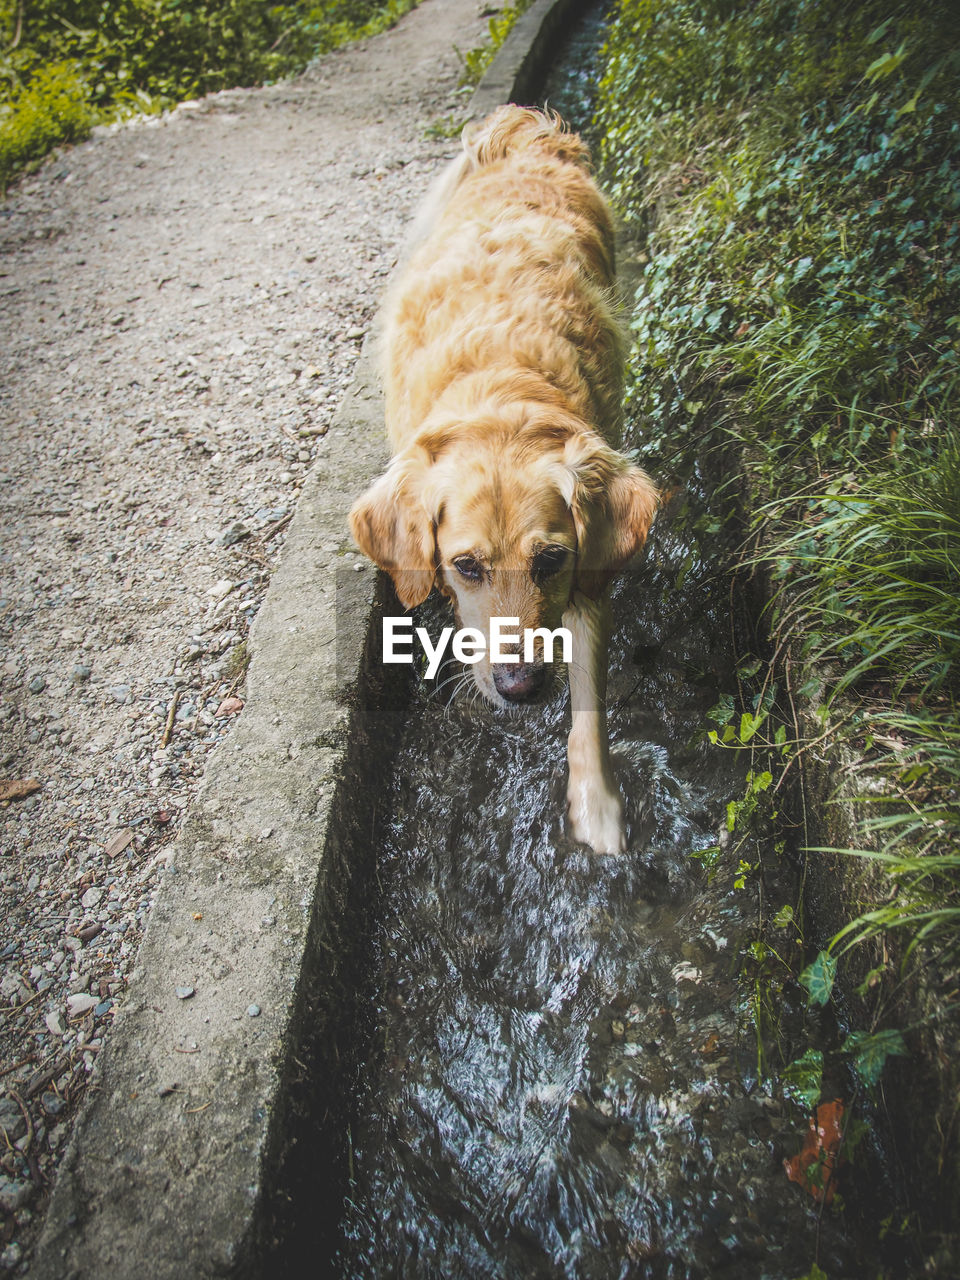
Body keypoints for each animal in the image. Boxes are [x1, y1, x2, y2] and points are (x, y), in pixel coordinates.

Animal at [350, 104, 660, 849]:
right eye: (466, 567)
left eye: (550, 560)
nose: (520, 688)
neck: (496, 387)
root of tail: (522, 131)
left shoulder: (590, 574)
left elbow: (588, 695)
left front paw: (596, 802)